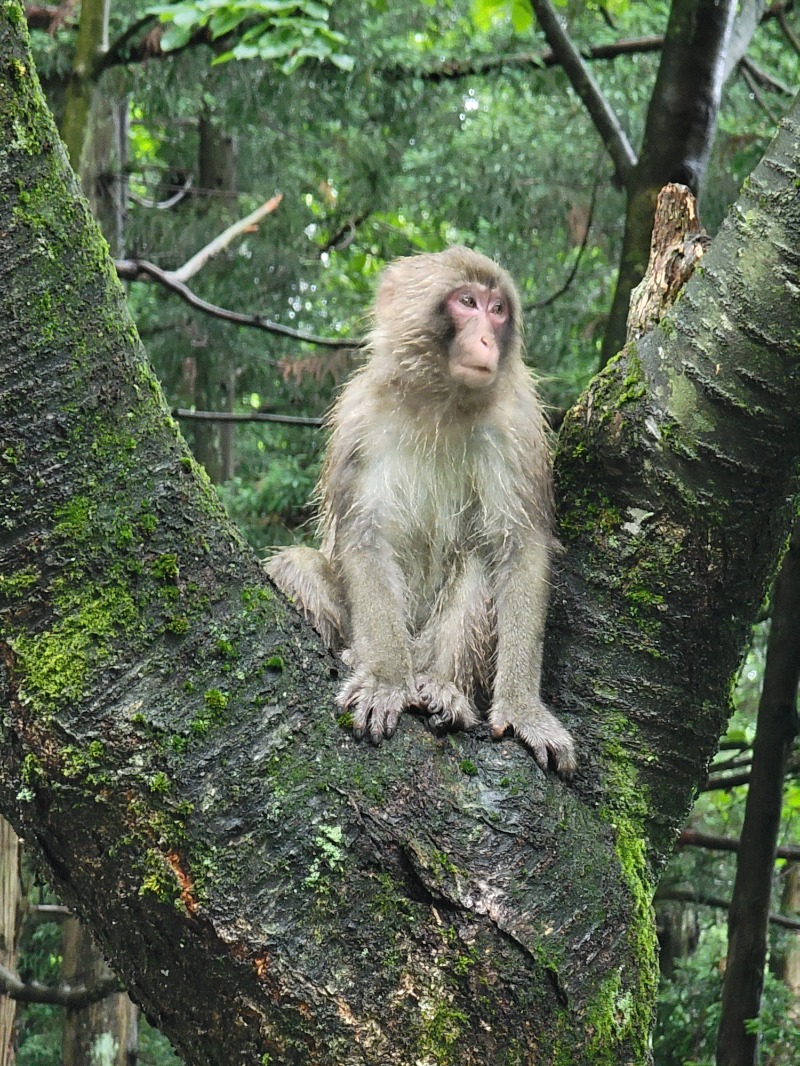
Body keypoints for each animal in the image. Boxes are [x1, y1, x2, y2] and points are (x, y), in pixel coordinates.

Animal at [267, 244, 576, 771]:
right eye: (467, 302)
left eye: (498, 310)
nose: (486, 340)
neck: (440, 401)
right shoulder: (359, 415)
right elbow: (363, 536)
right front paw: (386, 679)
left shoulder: (517, 426)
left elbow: (520, 547)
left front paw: (522, 709)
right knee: (294, 566)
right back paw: (362, 659)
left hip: (427, 647)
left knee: (476, 561)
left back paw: (445, 692)